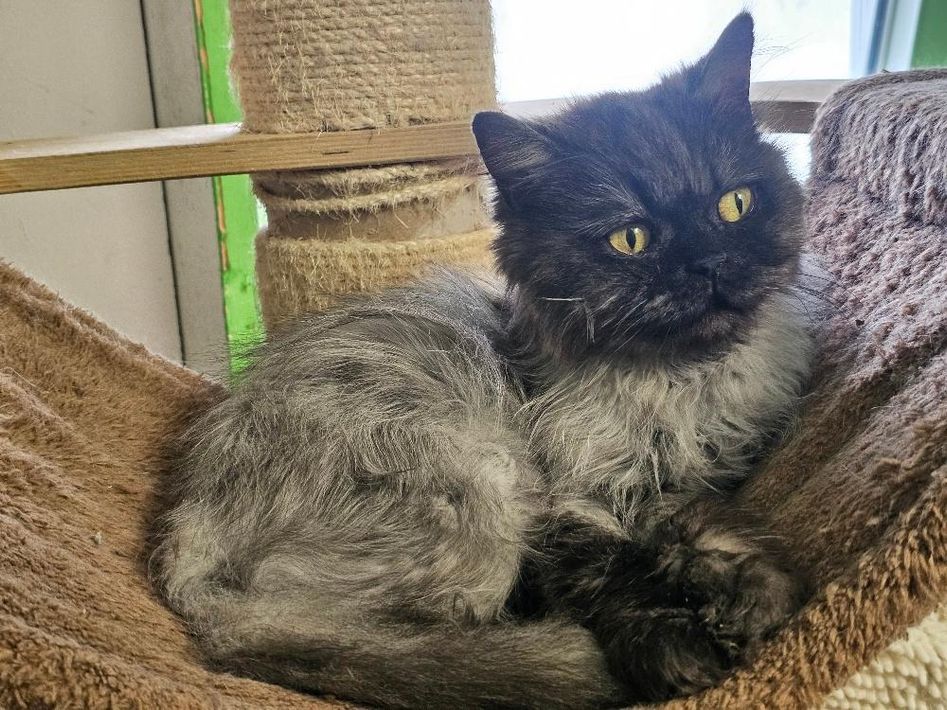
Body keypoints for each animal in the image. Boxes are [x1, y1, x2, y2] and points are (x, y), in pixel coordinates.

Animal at [152, 12, 815, 709]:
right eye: (629, 239)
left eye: (733, 205)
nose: (709, 265)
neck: (679, 389)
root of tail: (187, 546)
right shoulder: (566, 505)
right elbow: (614, 572)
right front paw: (672, 647)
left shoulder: (680, 487)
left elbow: (709, 527)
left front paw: (752, 592)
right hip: (475, 491)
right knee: (349, 641)